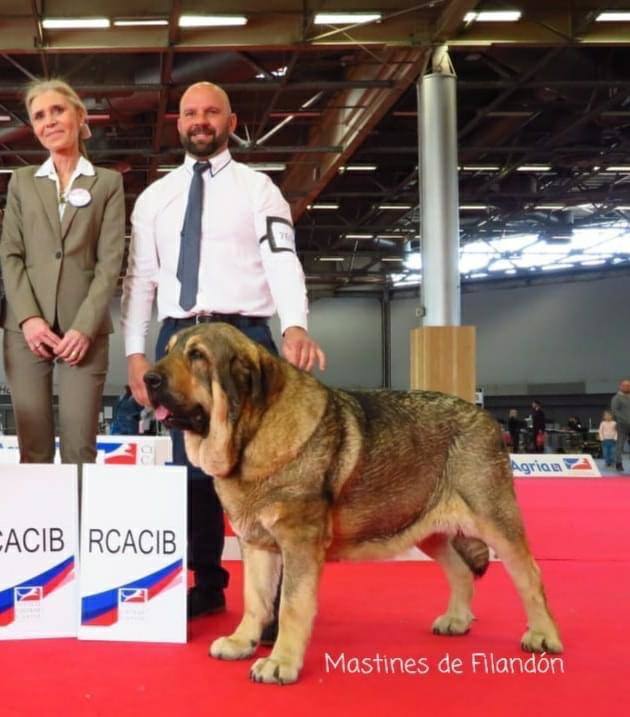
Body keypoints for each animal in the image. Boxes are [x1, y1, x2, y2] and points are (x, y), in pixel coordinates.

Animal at [146, 324, 564, 684]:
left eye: (197, 355)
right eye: (168, 352)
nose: (148, 378)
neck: (251, 434)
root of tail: (486, 417)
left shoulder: (299, 542)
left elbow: (291, 605)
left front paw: (281, 662)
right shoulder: (257, 543)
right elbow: (256, 598)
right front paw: (241, 641)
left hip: (495, 519)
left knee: (530, 576)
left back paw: (543, 636)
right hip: (425, 528)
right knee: (460, 570)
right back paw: (457, 620)